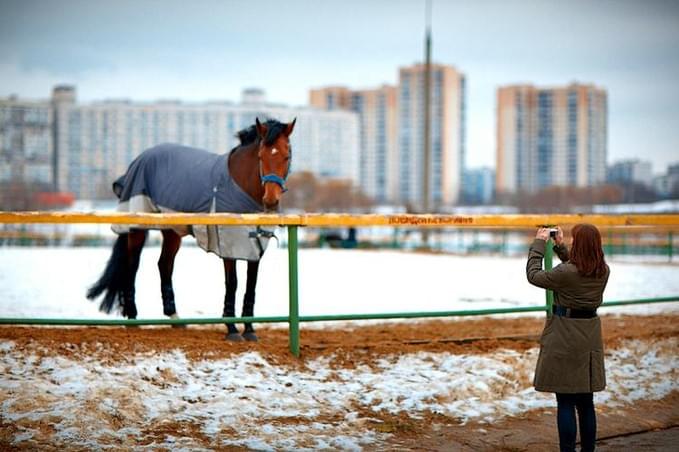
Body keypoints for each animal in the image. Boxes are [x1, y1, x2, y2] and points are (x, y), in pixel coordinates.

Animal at [87, 118, 294, 340]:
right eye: (261, 156)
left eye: (287, 156)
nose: (271, 200)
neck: (240, 185)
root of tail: (140, 159)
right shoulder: (227, 243)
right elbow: (233, 282)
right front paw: (231, 329)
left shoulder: (254, 245)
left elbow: (251, 284)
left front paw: (249, 330)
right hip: (137, 228)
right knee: (132, 265)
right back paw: (133, 319)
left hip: (172, 231)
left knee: (164, 265)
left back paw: (175, 318)